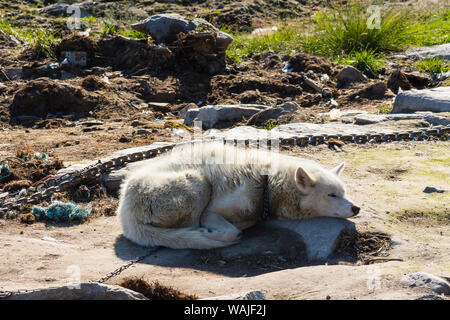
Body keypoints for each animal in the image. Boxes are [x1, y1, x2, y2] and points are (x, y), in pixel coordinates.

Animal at [118, 141, 360, 249]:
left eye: (344, 193)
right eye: (331, 195)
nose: (356, 208)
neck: (267, 184)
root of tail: (124, 213)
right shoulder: (211, 212)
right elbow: (231, 230)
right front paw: (217, 232)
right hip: (197, 182)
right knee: (188, 227)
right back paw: (202, 234)